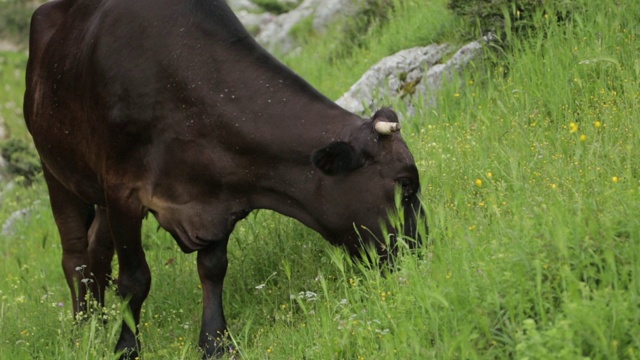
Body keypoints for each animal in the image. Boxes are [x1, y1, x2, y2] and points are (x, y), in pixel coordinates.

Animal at [23, 0, 424, 358]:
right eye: (405, 184)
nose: (420, 252)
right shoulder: (124, 190)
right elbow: (135, 279)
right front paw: (126, 348)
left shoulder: (216, 195)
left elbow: (213, 269)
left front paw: (215, 343)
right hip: (55, 168)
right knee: (75, 256)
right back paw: (82, 330)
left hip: (100, 195)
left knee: (98, 254)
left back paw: (97, 321)